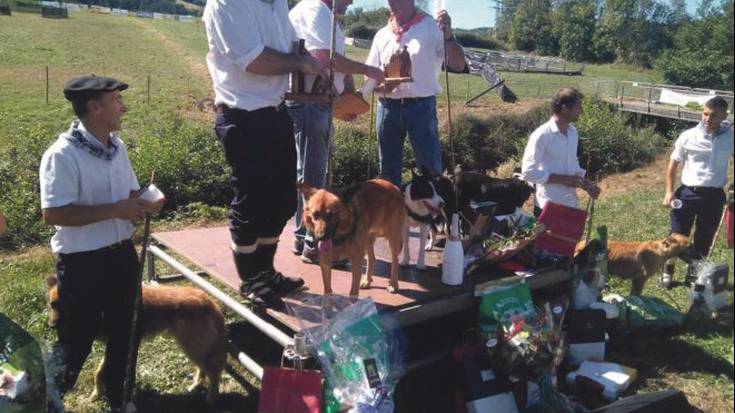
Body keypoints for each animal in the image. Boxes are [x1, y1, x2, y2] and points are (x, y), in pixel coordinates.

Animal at [47, 276, 226, 404]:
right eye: (51, 304)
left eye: (60, 305)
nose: (51, 326)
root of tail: (209, 301)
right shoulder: (116, 346)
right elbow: (98, 371)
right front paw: (97, 393)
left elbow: (101, 370)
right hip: (193, 348)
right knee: (203, 368)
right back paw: (197, 385)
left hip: (192, 347)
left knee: (213, 372)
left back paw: (212, 397)